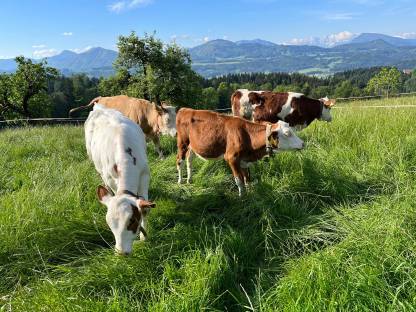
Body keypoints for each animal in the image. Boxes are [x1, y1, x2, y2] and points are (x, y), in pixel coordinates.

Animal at [84, 105, 156, 256]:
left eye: (132, 221)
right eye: (109, 224)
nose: (121, 253)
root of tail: (98, 107)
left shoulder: (145, 174)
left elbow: (146, 209)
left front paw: (144, 237)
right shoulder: (110, 178)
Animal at [174, 107, 304, 195]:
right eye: (287, 133)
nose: (303, 143)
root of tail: (185, 109)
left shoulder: (244, 160)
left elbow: (247, 179)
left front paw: (250, 193)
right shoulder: (232, 158)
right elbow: (239, 180)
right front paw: (242, 197)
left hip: (192, 146)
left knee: (189, 160)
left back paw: (189, 180)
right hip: (182, 142)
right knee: (180, 160)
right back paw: (180, 181)